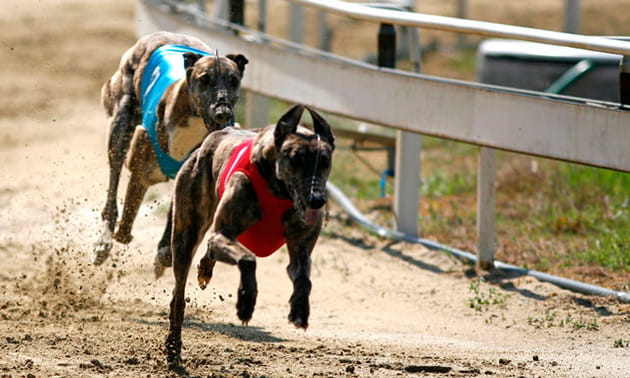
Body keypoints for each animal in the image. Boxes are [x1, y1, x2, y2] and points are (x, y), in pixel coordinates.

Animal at [154, 104, 336, 370]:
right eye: (295, 158)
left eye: (324, 161)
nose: (317, 200)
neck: (278, 190)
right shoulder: (223, 234)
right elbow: (248, 259)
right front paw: (246, 302)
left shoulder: (300, 252)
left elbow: (303, 278)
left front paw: (300, 310)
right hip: (187, 230)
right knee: (178, 296)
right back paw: (173, 351)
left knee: (208, 255)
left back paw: (205, 270)